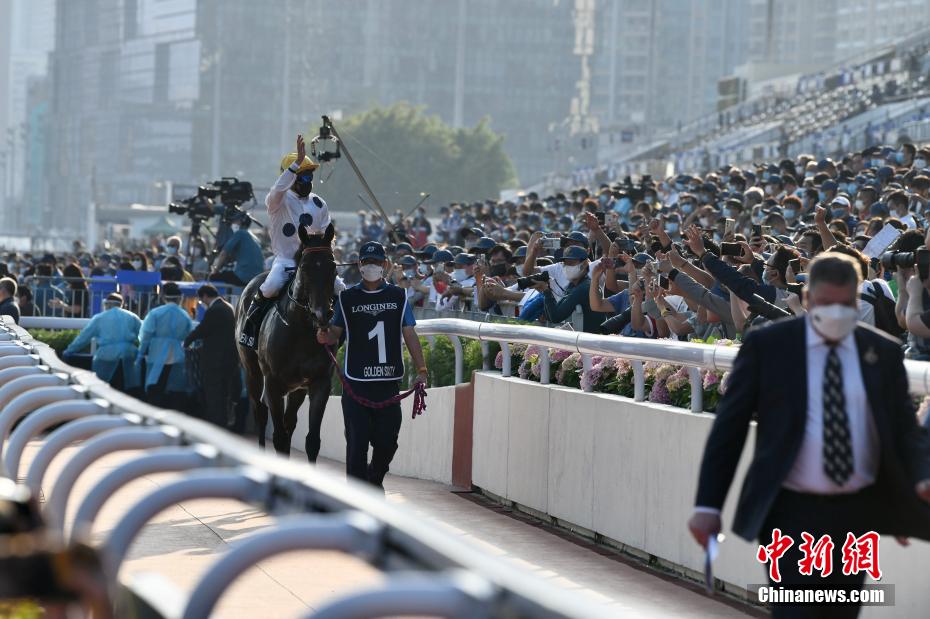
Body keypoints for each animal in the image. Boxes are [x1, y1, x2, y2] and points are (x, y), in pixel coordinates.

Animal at [234, 223, 336, 460]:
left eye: (333, 267)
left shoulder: (319, 383)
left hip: (297, 388)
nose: (321, 314)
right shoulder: (273, 384)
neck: (301, 330)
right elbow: (279, 438)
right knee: (261, 414)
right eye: (305, 268)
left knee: (290, 422)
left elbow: (312, 441)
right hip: (251, 373)